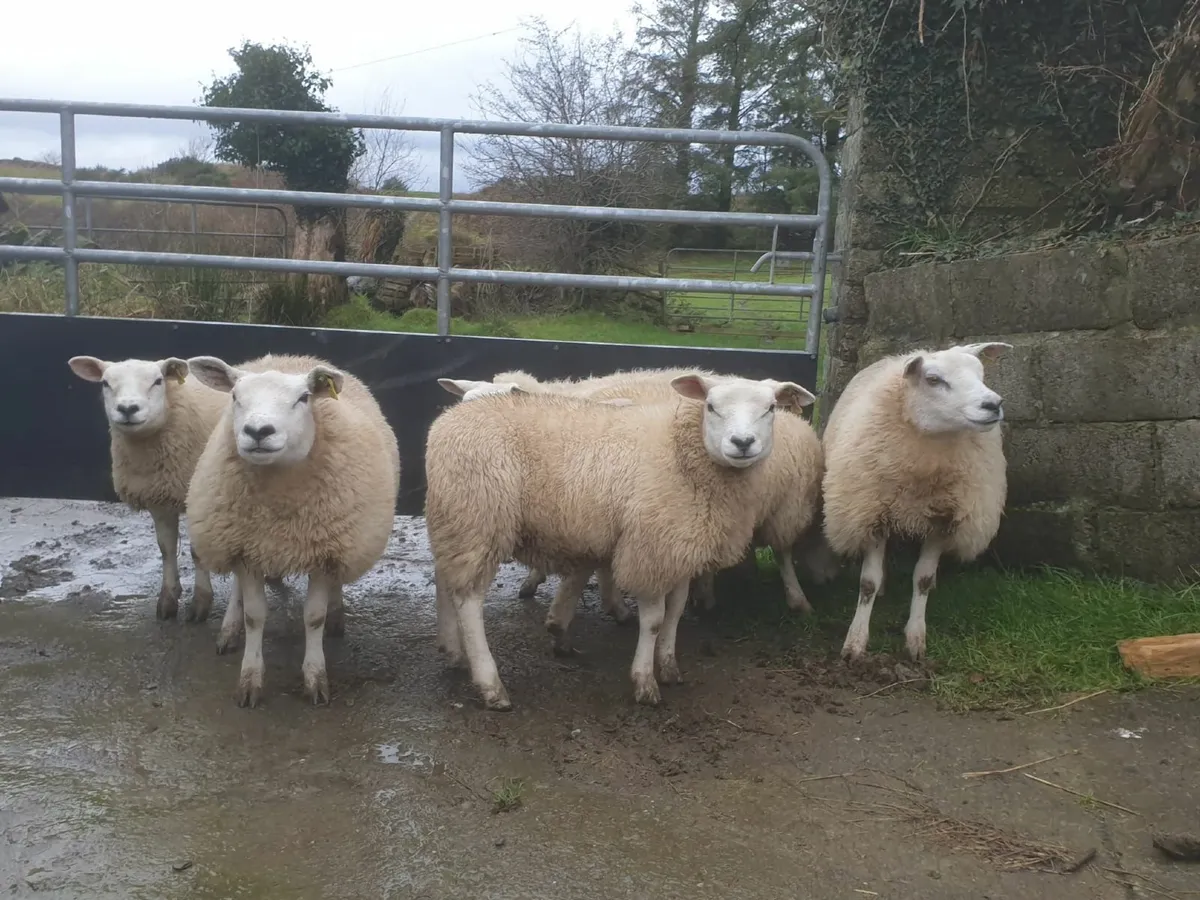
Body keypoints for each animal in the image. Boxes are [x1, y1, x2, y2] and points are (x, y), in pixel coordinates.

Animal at [68, 355, 228, 622]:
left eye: (157, 381)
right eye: (105, 383)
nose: (127, 409)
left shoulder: (198, 499)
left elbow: (196, 551)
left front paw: (200, 603)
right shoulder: (159, 497)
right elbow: (166, 549)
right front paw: (168, 599)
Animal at [184, 353, 401, 708]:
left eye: (303, 398)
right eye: (235, 396)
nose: (258, 431)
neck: (280, 511)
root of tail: (290, 357)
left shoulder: (326, 551)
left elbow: (313, 616)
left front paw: (315, 678)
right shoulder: (247, 549)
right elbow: (254, 615)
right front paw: (249, 679)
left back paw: (336, 615)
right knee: (237, 592)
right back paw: (229, 631)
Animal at [425, 373, 814, 710]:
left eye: (770, 408)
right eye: (711, 406)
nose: (742, 443)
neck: (680, 451)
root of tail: (448, 419)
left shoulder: (680, 545)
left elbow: (676, 612)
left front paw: (668, 665)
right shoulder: (651, 546)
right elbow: (654, 619)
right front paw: (644, 681)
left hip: (455, 517)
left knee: (446, 578)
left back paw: (454, 652)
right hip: (479, 515)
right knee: (469, 600)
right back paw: (490, 684)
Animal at [821, 342, 1011, 663]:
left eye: (981, 373)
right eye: (933, 379)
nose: (993, 404)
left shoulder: (944, 520)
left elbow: (921, 578)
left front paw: (915, 639)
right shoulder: (873, 514)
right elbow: (867, 583)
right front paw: (855, 642)